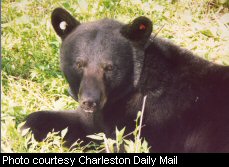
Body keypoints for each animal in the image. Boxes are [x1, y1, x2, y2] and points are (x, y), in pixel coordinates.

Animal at [22, 7, 229, 152]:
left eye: (109, 67)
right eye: (79, 64)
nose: (89, 101)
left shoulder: (157, 119)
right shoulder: (98, 117)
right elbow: (78, 123)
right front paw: (29, 132)